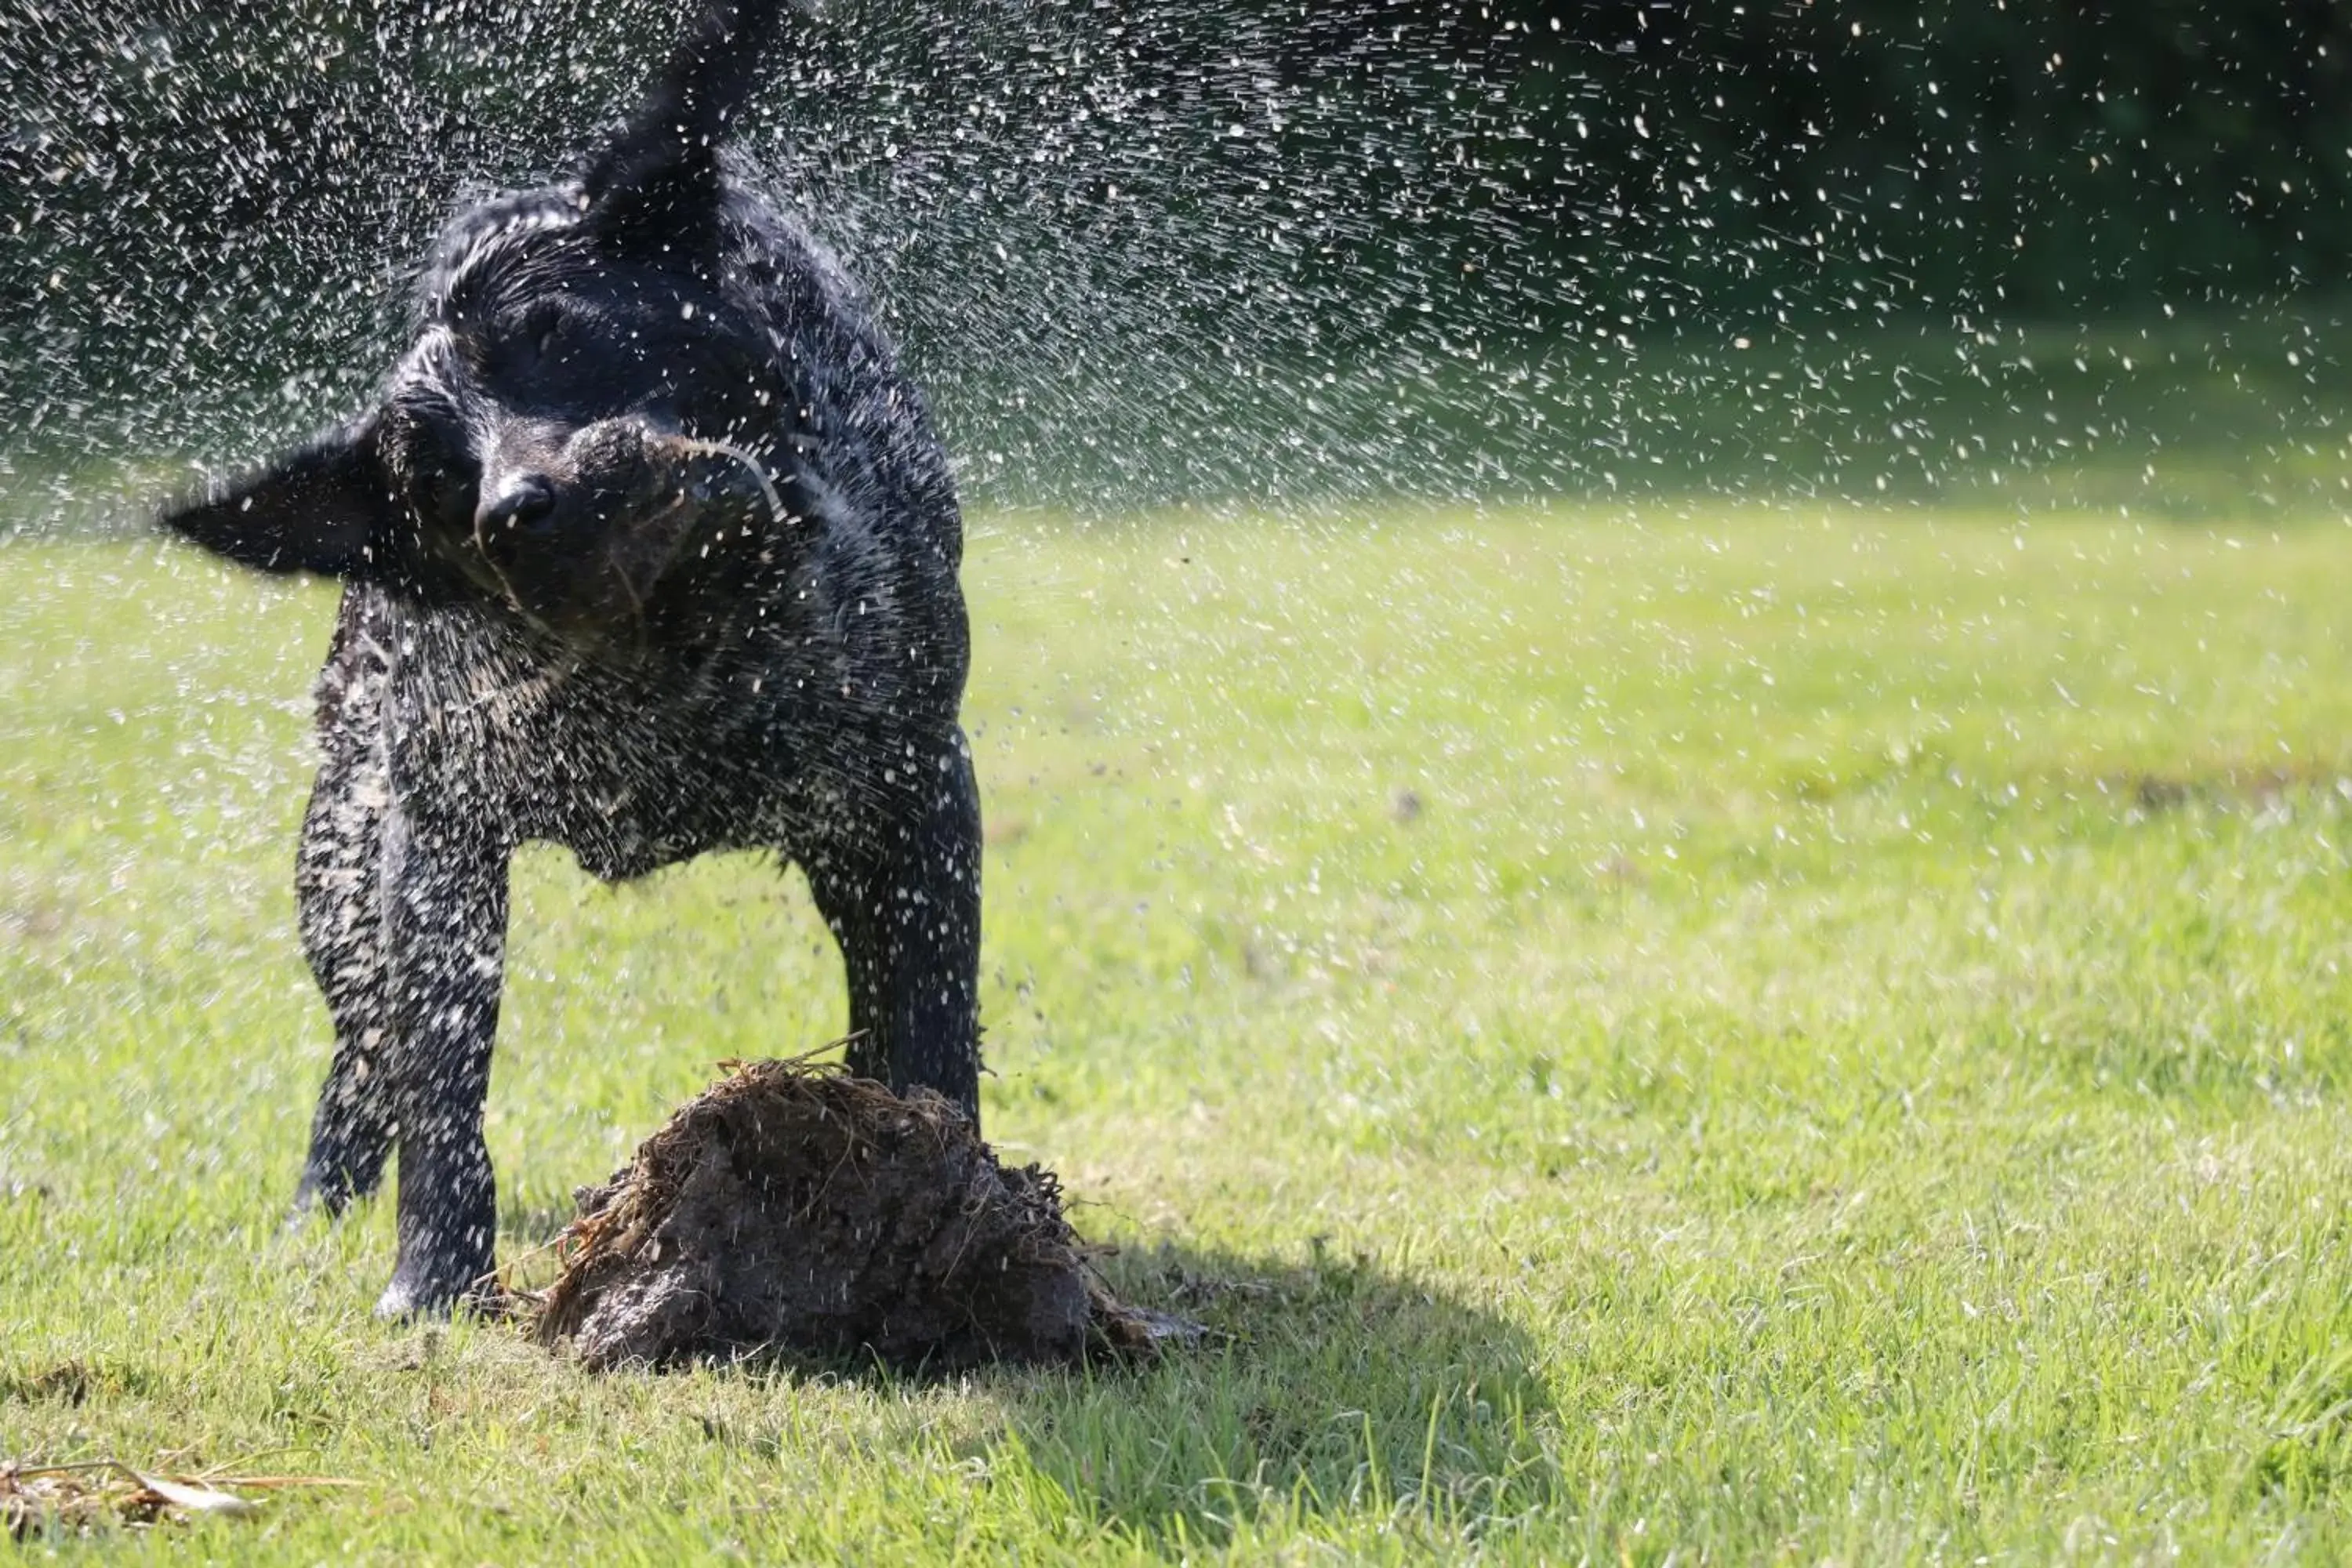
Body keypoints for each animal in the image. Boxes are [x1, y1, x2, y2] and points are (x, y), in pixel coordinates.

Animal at [158, 0, 983, 1316]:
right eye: (434, 476)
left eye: (558, 333)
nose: (519, 508)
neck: (691, 658)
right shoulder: (438, 833)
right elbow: (440, 1091)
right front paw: (434, 1281)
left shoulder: (913, 787)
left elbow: (923, 1025)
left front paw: (961, 1198)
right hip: (340, 857)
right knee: (362, 1057)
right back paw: (317, 1214)